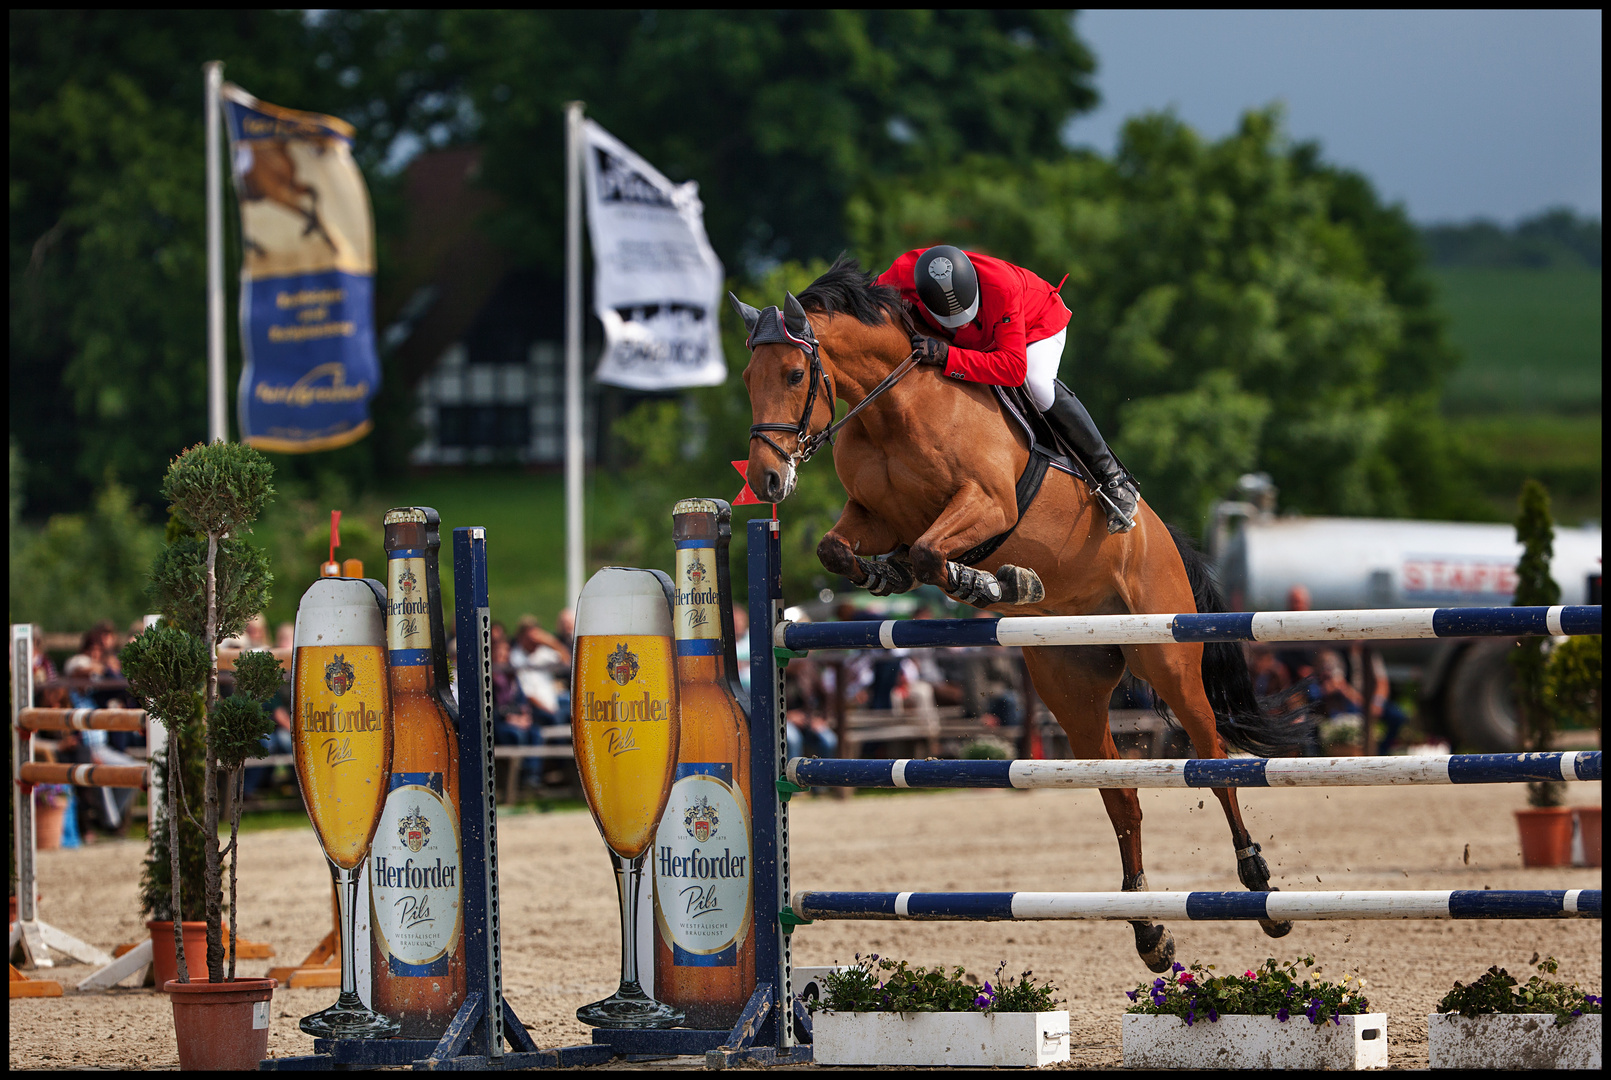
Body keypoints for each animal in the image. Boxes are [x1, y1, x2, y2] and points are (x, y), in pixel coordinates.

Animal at [737, 257, 1314, 980]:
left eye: (793, 375)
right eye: (747, 378)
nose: (765, 480)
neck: (893, 411)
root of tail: (1161, 537)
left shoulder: (985, 503)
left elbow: (930, 551)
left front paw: (996, 579)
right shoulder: (873, 516)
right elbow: (839, 549)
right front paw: (896, 575)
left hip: (1168, 657)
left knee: (1214, 762)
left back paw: (1260, 887)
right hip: (1070, 684)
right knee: (1120, 795)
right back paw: (1149, 930)